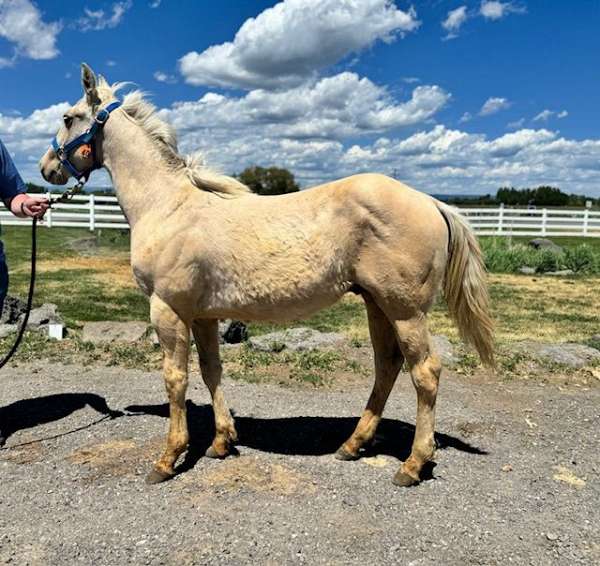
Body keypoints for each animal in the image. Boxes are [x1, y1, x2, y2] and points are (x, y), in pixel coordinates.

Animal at [39, 65, 494, 488]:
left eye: (68, 117)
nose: (47, 169)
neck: (167, 206)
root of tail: (432, 202)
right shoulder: (203, 315)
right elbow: (211, 370)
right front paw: (222, 442)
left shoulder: (168, 309)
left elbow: (175, 379)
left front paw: (168, 459)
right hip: (376, 303)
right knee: (387, 366)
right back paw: (351, 445)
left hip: (405, 310)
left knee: (425, 372)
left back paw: (413, 465)